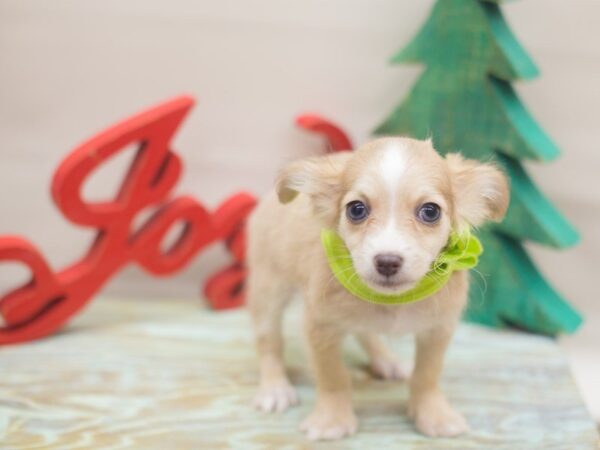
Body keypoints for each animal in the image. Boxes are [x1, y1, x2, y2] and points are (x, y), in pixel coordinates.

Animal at [246, 137, 508, 440]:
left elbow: (427, 375)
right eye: (356, 209)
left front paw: (434, 414)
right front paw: (332, 420)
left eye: (430, 212)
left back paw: (387, 361)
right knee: (269, 342)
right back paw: (274, 388)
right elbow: (332, 376)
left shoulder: (438, 329)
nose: (387, 261)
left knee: (365, 332)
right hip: (268, 290)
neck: (391, 301)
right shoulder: (320, 328)